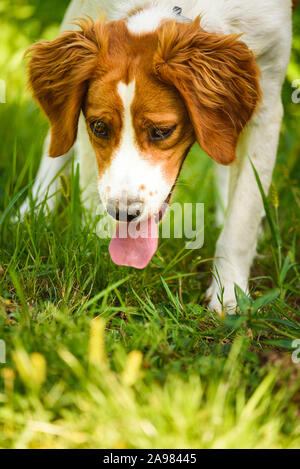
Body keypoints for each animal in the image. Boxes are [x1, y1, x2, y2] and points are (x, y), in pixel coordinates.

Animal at [21, 1, 296, 312]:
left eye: (162, 131)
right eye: (99, 127)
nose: (123, 213)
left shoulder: (267, 94)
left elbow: (243, 216)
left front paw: (229, 292)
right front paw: (96, 254)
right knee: (57, 139)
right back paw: (30, 214)